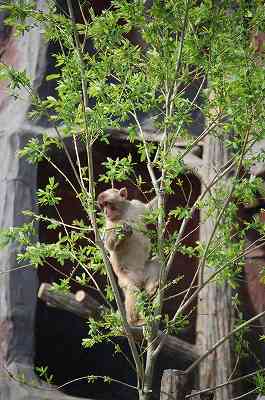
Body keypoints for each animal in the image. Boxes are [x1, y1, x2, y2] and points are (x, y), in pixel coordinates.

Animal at [97, 188, 159, 324]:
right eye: (102, 205)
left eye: (108, 204)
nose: (106, 212)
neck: (123, 213)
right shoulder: (110, 223)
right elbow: (109, 244)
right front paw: (123, 231)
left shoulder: (136, 205)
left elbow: (150, 210)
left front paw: (163, 192)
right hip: (126, 277)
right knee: (132, 290)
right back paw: (134, 321)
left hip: (145, 271)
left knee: (156, 263)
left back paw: (151, 288)